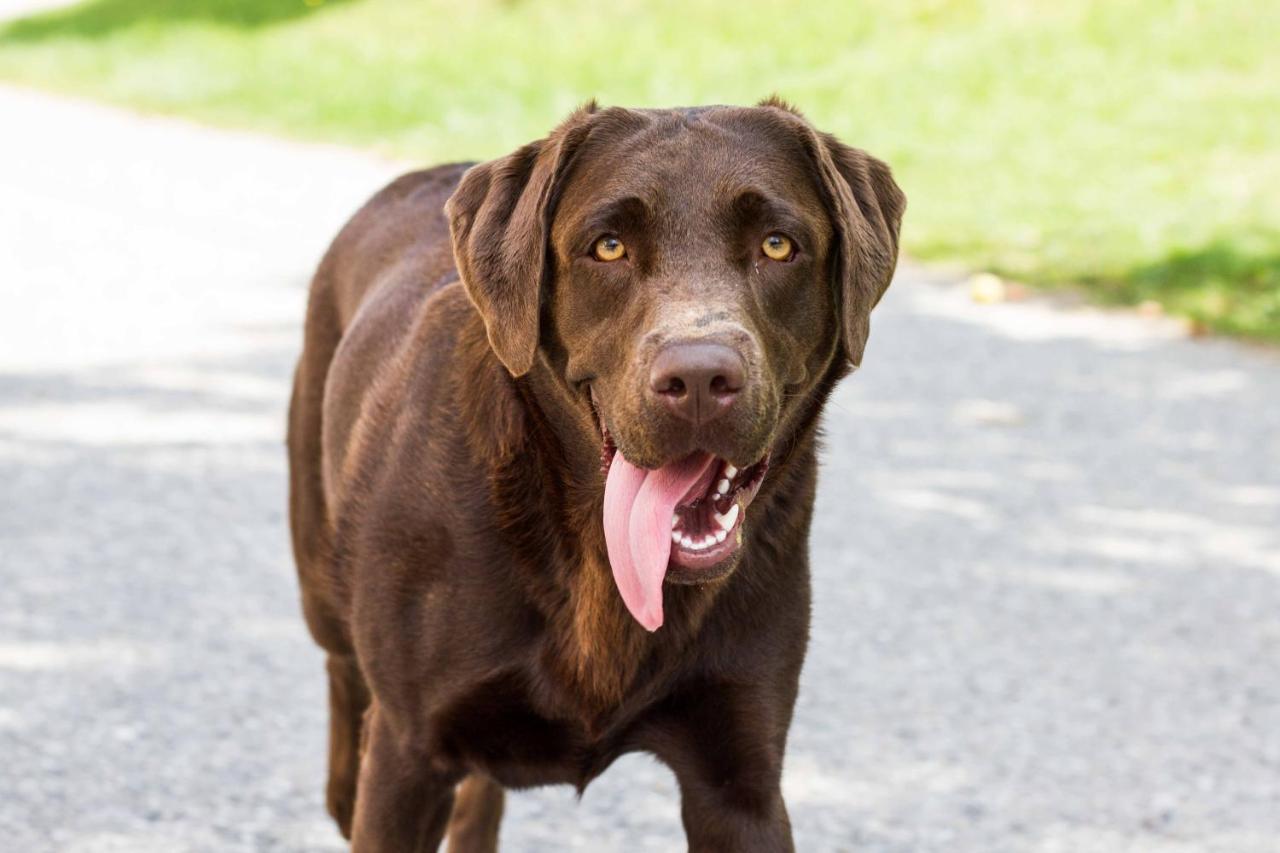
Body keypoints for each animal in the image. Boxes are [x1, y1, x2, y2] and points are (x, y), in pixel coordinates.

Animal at [285, 96, 906, 845]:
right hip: (323, 583)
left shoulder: (741, 780)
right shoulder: (409, 756)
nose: (700, 379)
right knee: (342, 694)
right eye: (608, 246)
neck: (594, 560)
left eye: (778, 245)